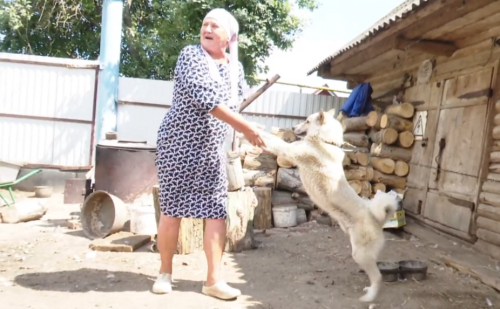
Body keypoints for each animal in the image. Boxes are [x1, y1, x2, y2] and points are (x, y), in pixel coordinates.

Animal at [249, 109, 398, 300]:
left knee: (378, 277)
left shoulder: (290, 150)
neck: (324, 140)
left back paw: (369, 297)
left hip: (360, 255)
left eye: (306, 121)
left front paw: (253, 129)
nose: (292, 127)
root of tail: (377, 219)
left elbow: (273, 140)